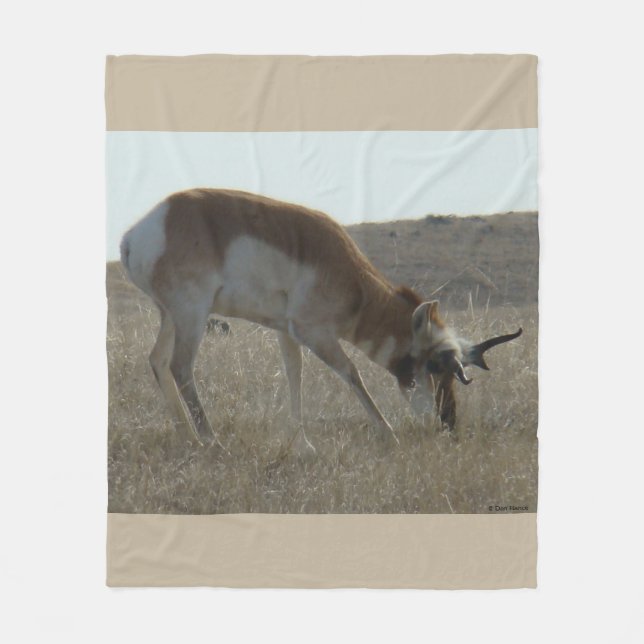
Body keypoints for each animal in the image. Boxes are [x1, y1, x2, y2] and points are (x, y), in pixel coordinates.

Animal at [120, 188, 522, 445]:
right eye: (436, 365)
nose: (449, 423)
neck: (349, 274)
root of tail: (139, 231)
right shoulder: (315, 333)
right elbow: (352, 373)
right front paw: (389, 434)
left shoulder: (285, 332)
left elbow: (293, 375)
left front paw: (303, 445)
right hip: (191, 315)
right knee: (180, 366)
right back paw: (211, 441)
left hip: (170, 316)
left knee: (157, 361)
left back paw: (188, 439)